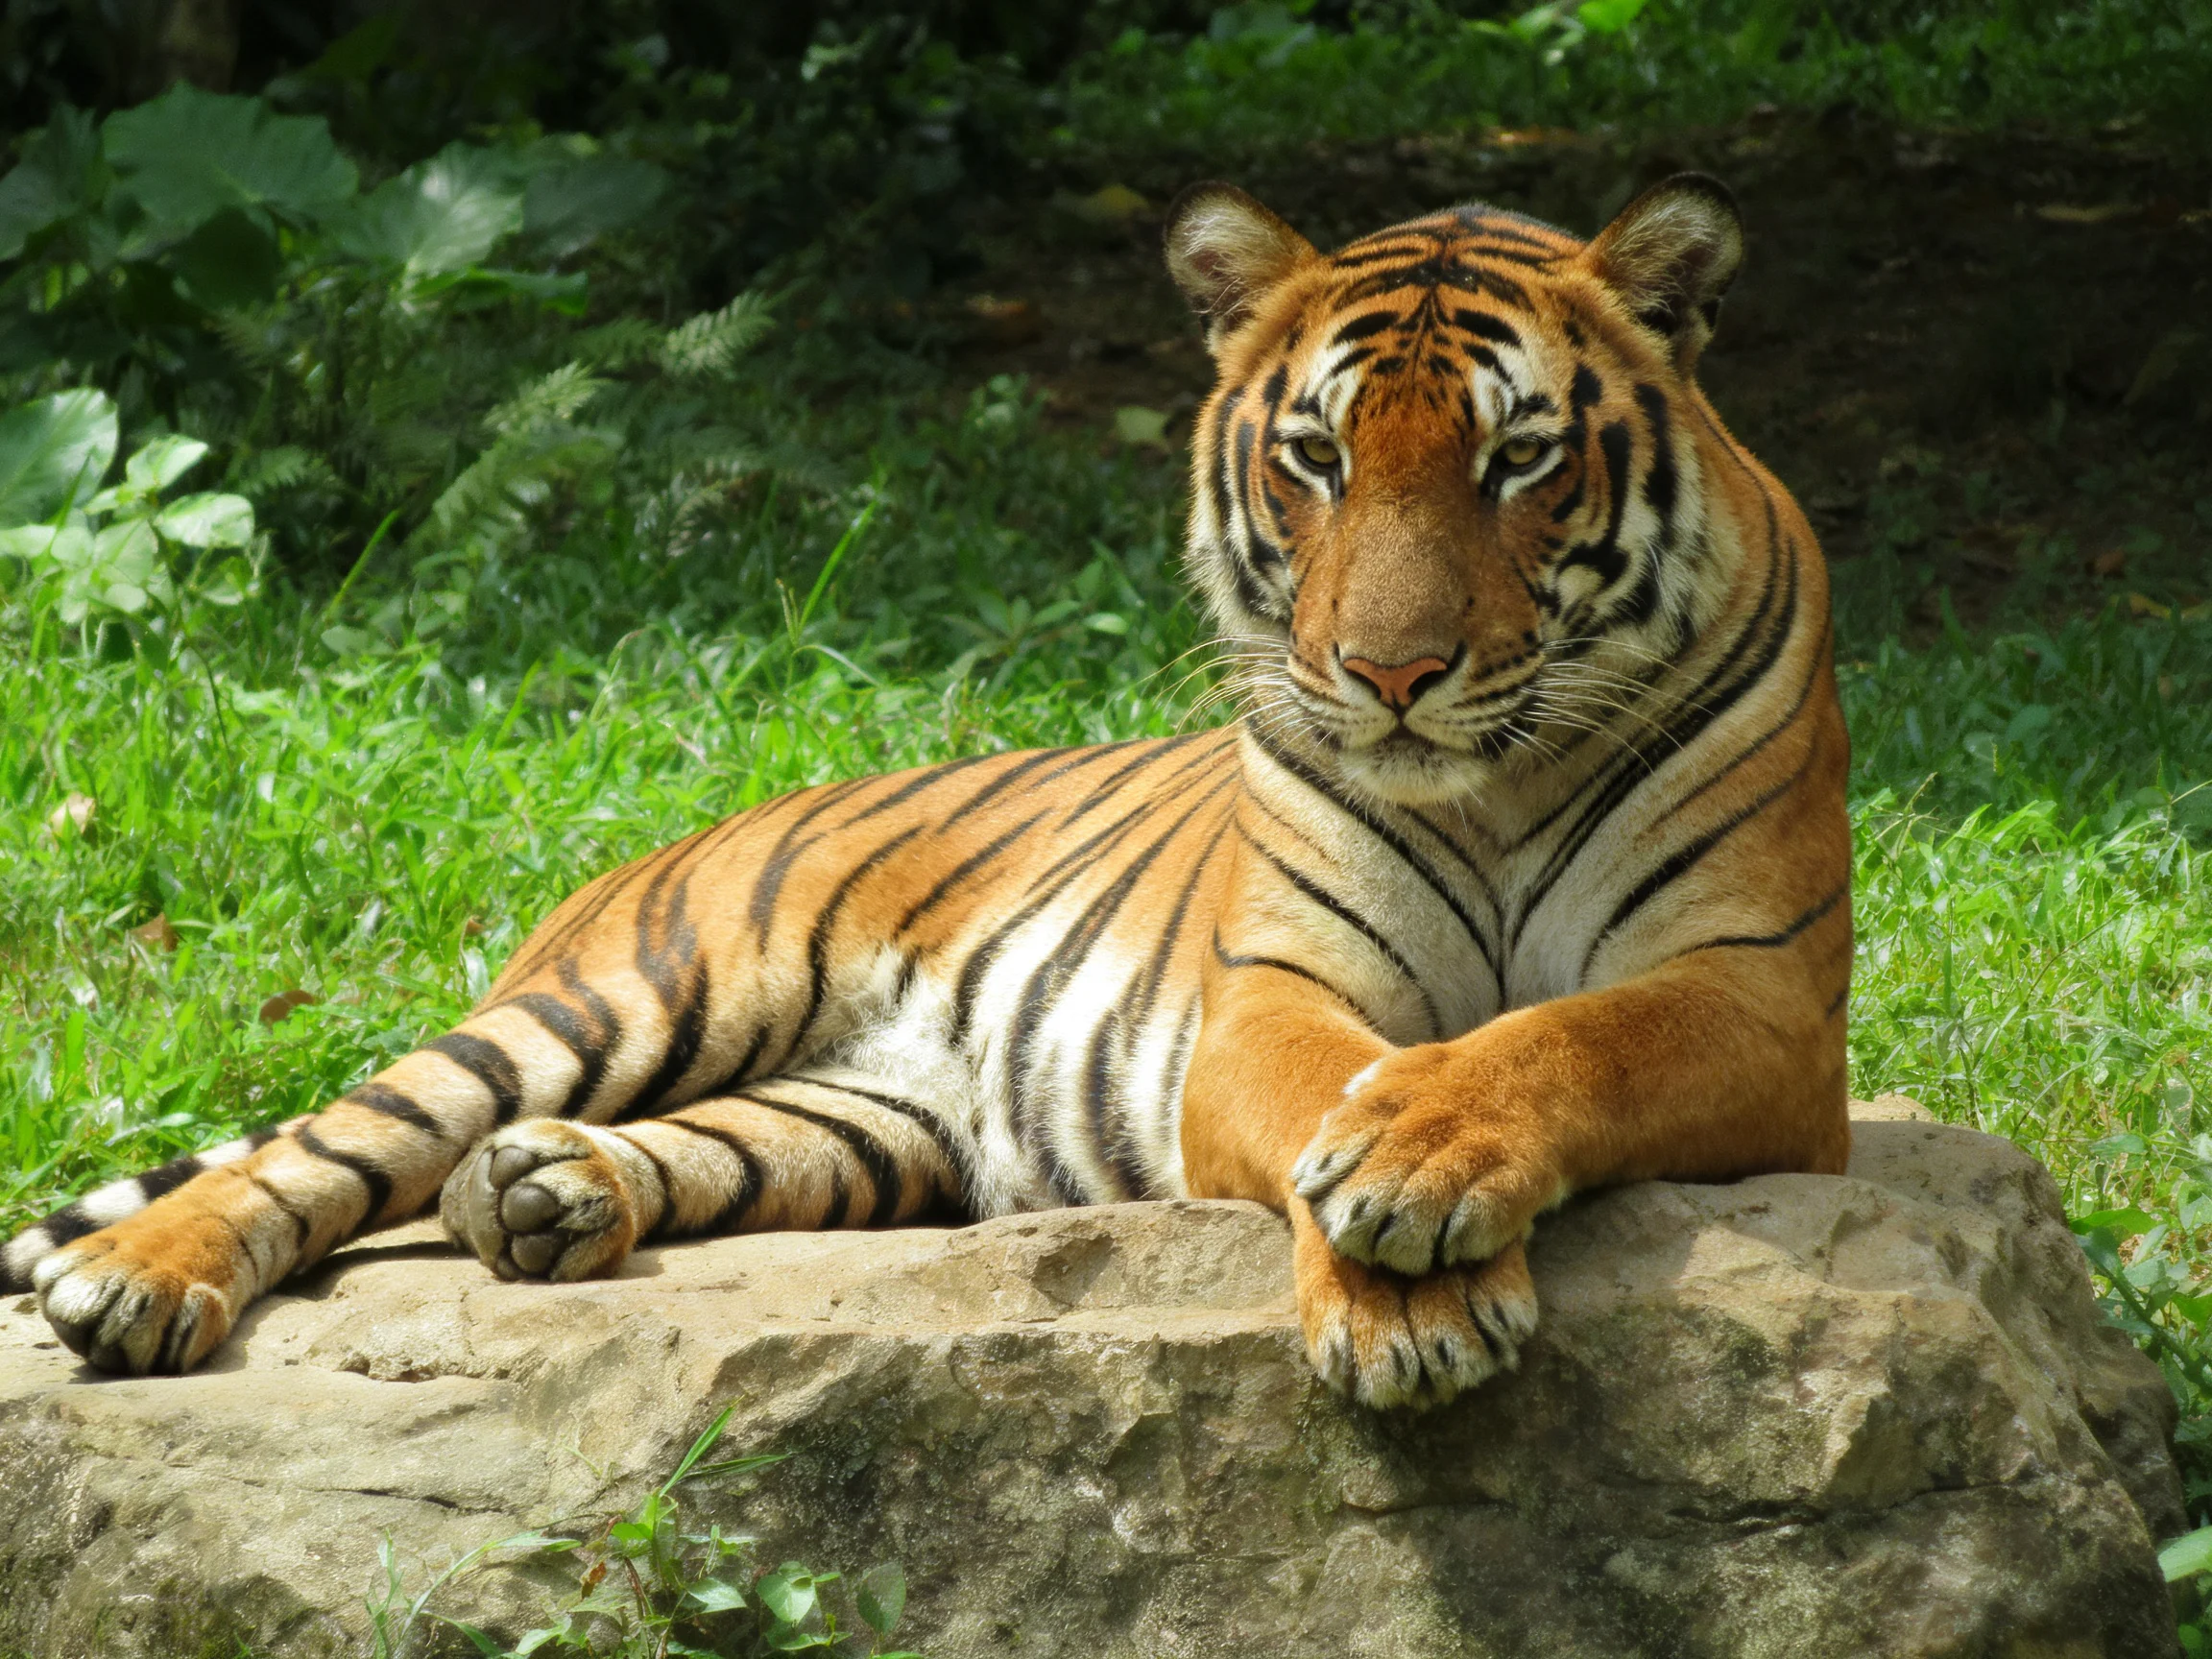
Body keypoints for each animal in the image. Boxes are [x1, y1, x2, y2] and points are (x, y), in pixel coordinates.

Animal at [3, 173, 1851, 1410]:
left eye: (1517, 458)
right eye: (1315, 458)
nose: (1386, 674)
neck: (1493, 782)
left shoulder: (1760, 999)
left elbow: (1569, 1037)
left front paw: (1418, 1167)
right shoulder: (1273, 994)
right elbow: (1342, 1083)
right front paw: (1405, 1286)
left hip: (869, 1122)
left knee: (657, 1154)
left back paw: (544, 1196)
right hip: (633, 995)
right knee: (322, 1148)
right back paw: (134, 1287)